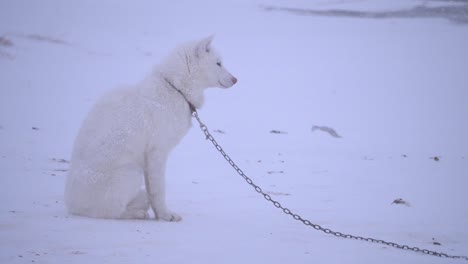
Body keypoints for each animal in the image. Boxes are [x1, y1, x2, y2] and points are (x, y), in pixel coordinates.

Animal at [65, 36, 238, 221]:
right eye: (218, 63)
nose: (236, 79)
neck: (175, 88)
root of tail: (72, 206)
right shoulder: (157, 152)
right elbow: (158, 190)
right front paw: (165, 215)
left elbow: (152, 191)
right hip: (132, 173)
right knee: (112, 211)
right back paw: (136, 214)